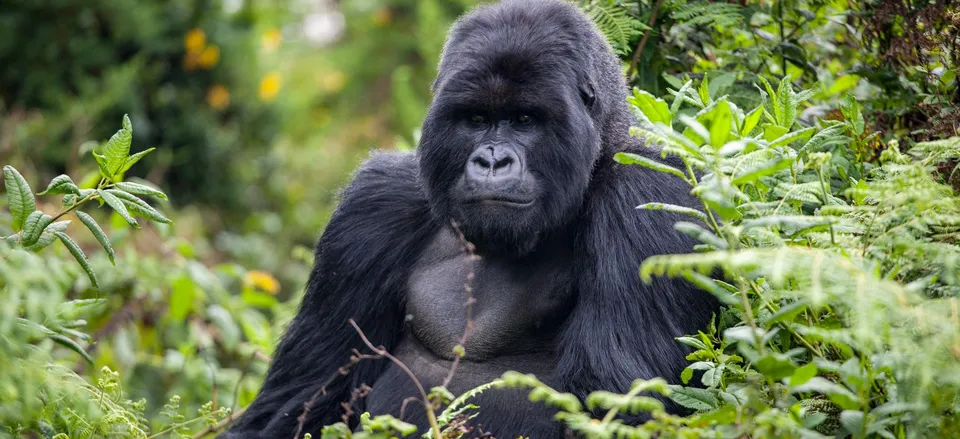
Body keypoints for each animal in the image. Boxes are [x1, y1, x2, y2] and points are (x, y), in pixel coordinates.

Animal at [227, 1, 712, 438]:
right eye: (476, 119)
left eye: (524, 119)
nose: (492, 160)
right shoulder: (372, 207)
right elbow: (296, 402)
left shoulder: (646, 197)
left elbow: (615, 407)